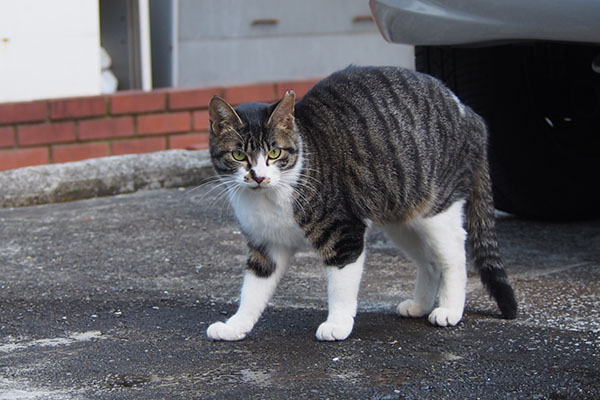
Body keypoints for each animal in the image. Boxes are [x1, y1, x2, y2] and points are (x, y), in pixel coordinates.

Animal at [205, 65, 516, 340]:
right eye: (238, 155)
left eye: (274, 152)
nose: (258, 176)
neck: (270, 197)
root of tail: (470, 113)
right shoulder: (266, 244)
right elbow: (253, 290)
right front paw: (236, 326)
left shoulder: (343, 232)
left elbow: (341, 287)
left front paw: (337, 324)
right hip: (402, 219)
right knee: (430, 262)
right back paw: (420, 306)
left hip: (437, 212)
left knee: (454, 256)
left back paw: (450, 309)